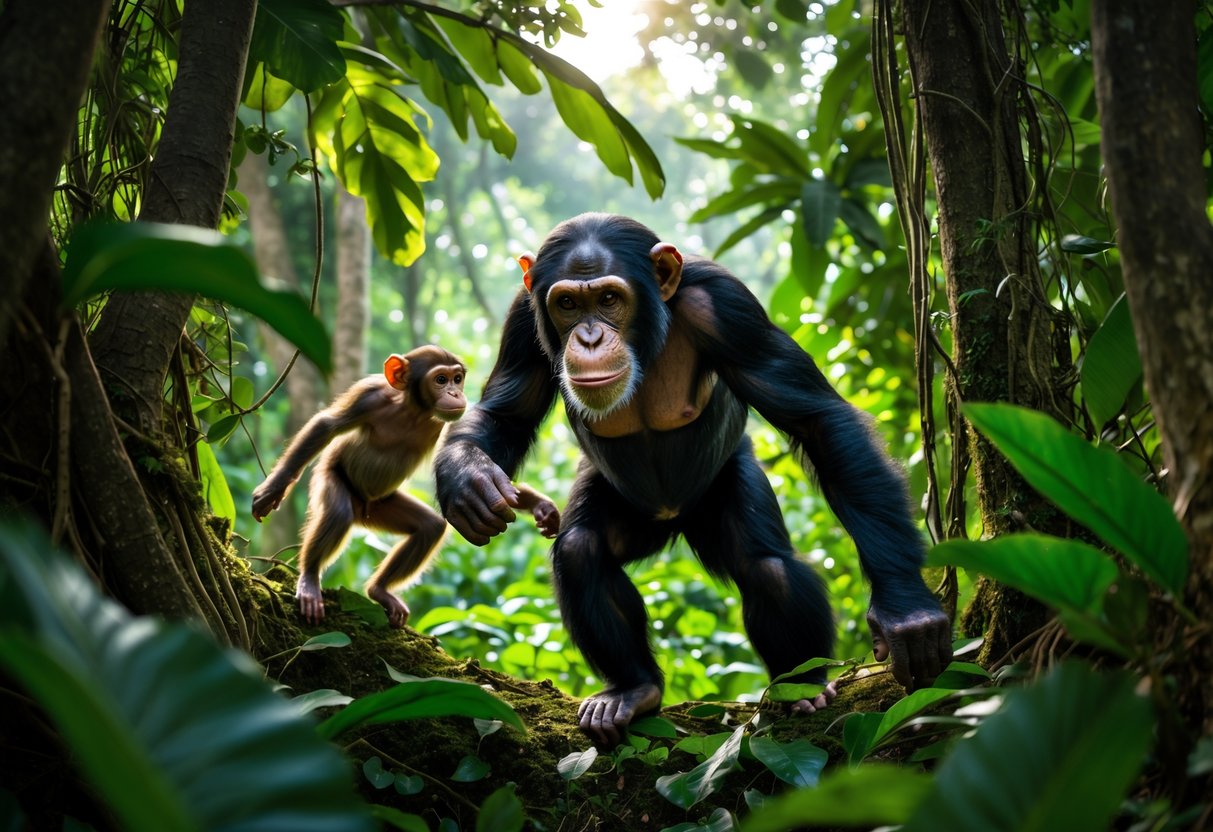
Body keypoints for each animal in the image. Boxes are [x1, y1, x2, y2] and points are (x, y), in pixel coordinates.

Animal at [253, 345, 560, 627]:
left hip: (382, 507)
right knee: (338, 513)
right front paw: (273, 489)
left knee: (429, 527)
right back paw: (309, 577)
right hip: (333, 478)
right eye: (441, 380)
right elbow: (326, 425)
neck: (413, 409)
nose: (455, 393)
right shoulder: (367, 395)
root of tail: (364, 510)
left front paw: (539, 506)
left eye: (457, 378)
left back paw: (379, 590)